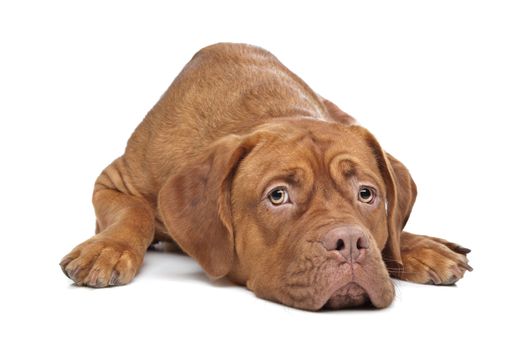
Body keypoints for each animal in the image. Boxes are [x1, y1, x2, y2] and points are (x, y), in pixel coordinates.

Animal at [58, 43, 470, 308]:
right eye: (278, 195)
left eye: (367, 194)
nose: (352, 242)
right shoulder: (114, 181)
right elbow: (135, 212)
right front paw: (108, 249)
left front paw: (418, 248)